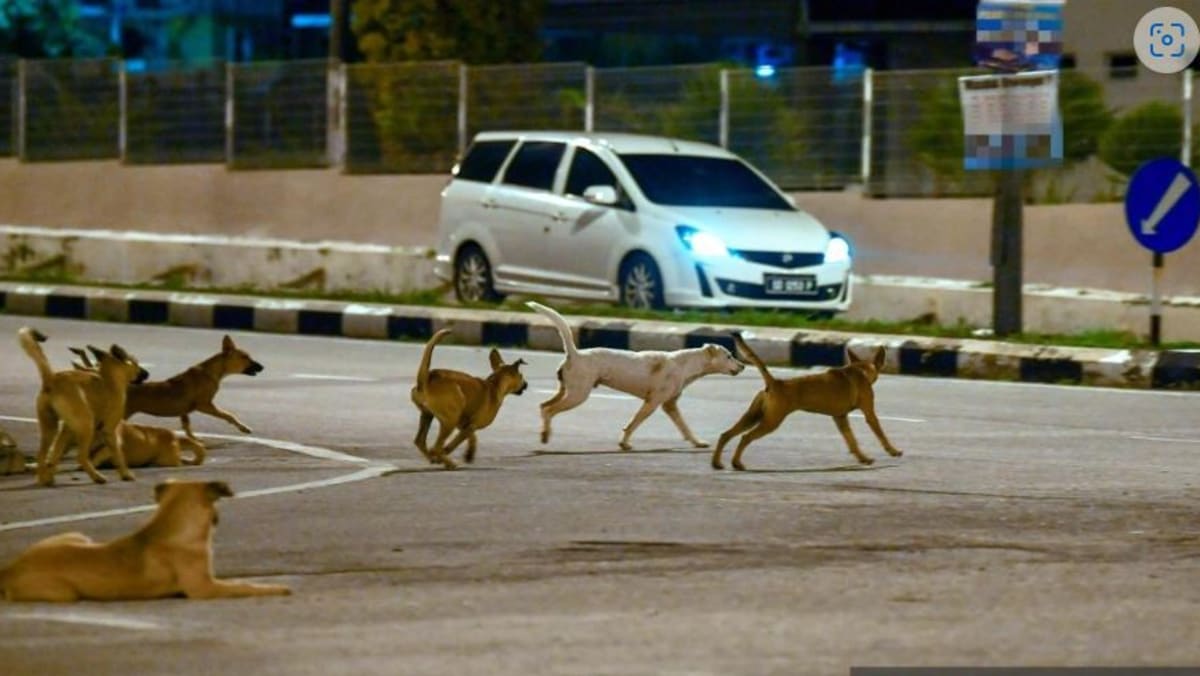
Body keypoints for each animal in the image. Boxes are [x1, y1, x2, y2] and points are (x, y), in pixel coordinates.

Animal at [0, 480, 290, 602]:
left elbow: (240, 582)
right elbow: (244, 585)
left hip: (78, 535)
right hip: (65, 594)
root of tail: (9, 569)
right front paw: (276, 588)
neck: (171, 526)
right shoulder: (204, 589)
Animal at [410, 328, 528, 470]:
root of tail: (427, 378)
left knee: (420, 441)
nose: (526, 384)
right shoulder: (470, 426)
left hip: (427, 415)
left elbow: (471, 437)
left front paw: (469, 454)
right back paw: (447, 462)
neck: (494, 384)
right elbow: (455, 443)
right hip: (449, 421)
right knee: (436, 447)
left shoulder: (466, 425)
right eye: (521, 376)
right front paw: (450, 452)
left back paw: (435, 458)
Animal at [525, 301, 739, 449]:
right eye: (729, 356)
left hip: (566, 391)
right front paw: (624, 443)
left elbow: (684, 427)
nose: (743, 366)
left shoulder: (670, 405)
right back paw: (546, 434)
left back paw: (544, 431)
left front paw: (697, 442)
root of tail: (575, 354)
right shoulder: (652, 403)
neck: (686, 364)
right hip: (578, 395)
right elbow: (633, 423)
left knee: (543, 406)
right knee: (549, 410)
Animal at [710, 333, 902, 470]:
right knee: (745, 437)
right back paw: (737, 463)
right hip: (771, 421)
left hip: (752, 416)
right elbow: (880, 434)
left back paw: (717, 463)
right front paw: (893, 451)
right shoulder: (869, 412)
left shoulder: (840, 418)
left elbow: (851, 440)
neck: (860, 370)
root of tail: (775, 382)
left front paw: (862, 458)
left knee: (726, 434)